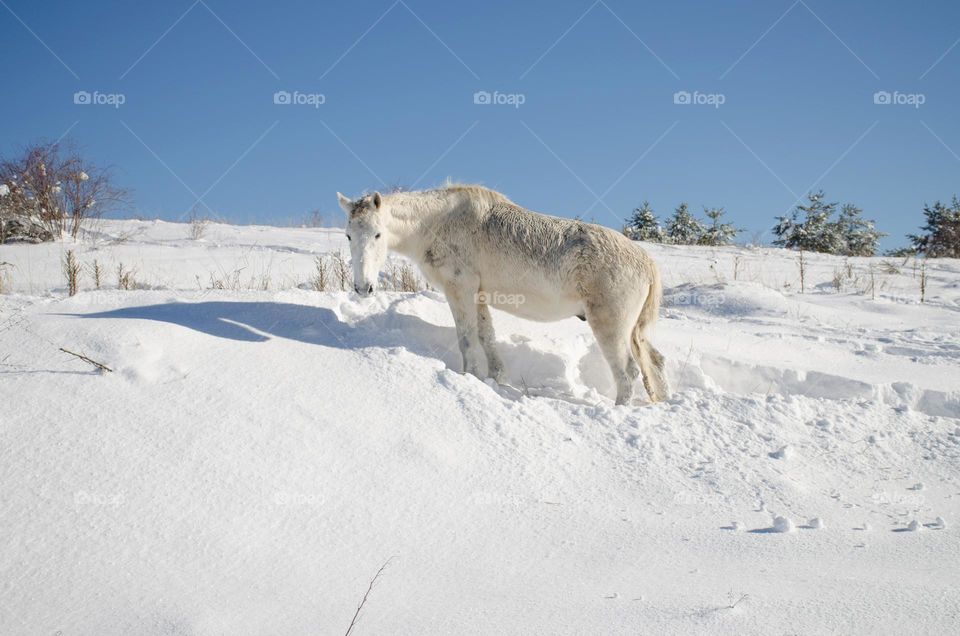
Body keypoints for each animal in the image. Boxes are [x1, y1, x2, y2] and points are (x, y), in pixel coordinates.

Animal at [338, 184, 668, 404]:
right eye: (349, 235)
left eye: (378, 234)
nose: (363, 287)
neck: (434, 223)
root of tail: (647, 262)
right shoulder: (479, 294)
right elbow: (487, 336)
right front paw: (498, 379)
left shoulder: (460, 288)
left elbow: (467, 338)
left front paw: (469, 377)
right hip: (633, 331)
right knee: (655, 362)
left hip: (610, 325)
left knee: (628, 373)